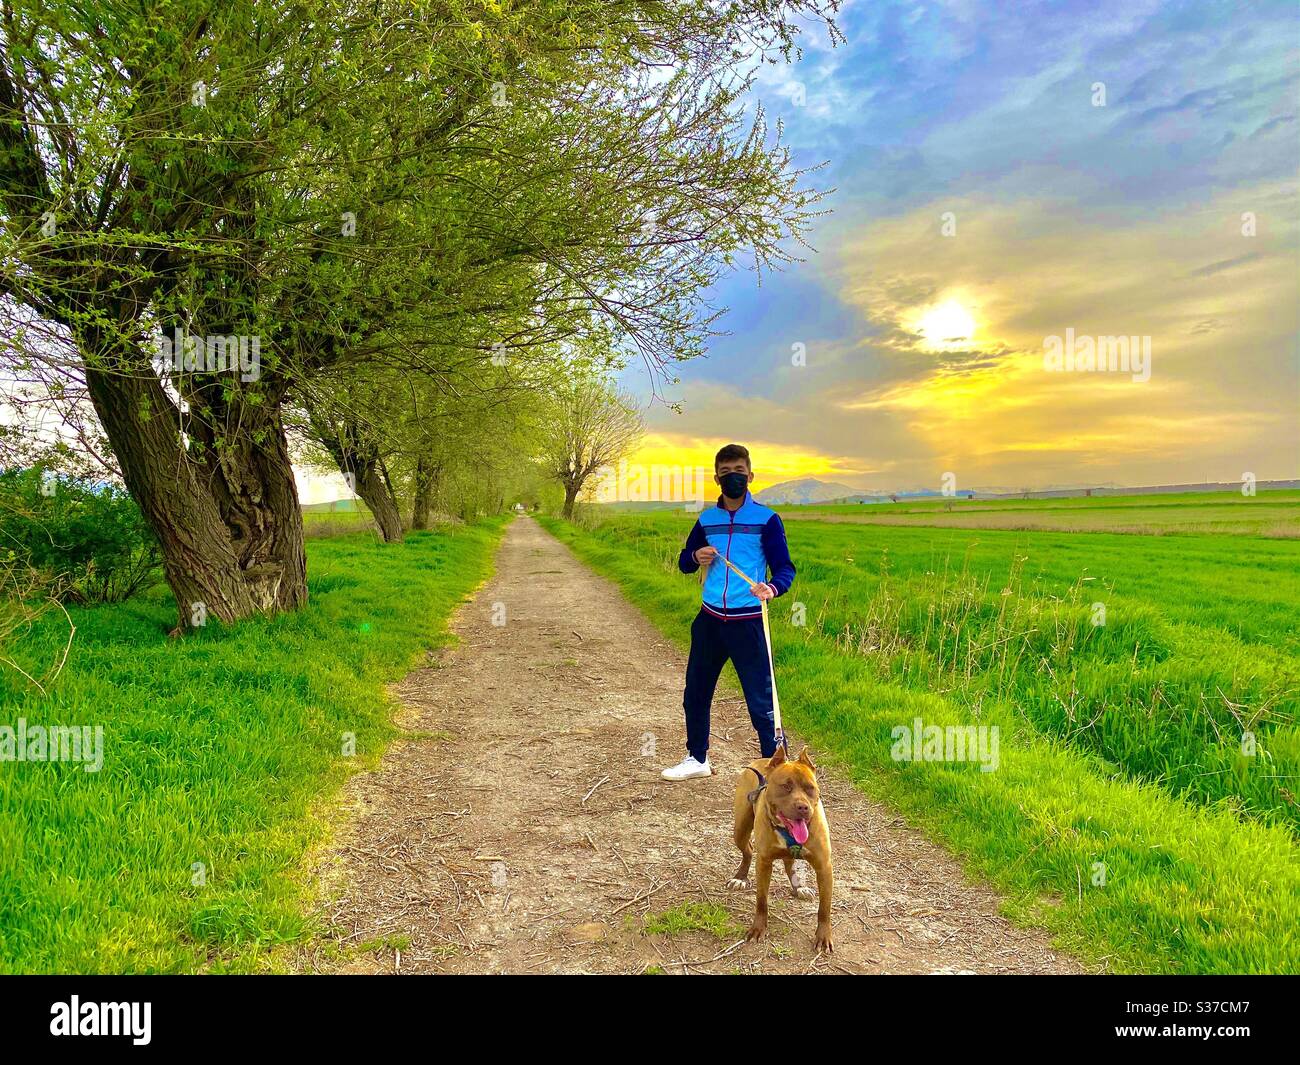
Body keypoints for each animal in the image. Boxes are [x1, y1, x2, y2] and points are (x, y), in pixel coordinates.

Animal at [728, 743, 837, 957]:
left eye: (809, 788)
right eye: (786, 787)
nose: (803, 807)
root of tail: (763, 759)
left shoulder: (824, 867)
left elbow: (824, 908)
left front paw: (823, 936)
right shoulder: (764, 863)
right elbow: (761, 901)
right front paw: (758, 929)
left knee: (789, 862)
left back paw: (799, 887)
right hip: (740, 829)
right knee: (748, 850)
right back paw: (740, 877)